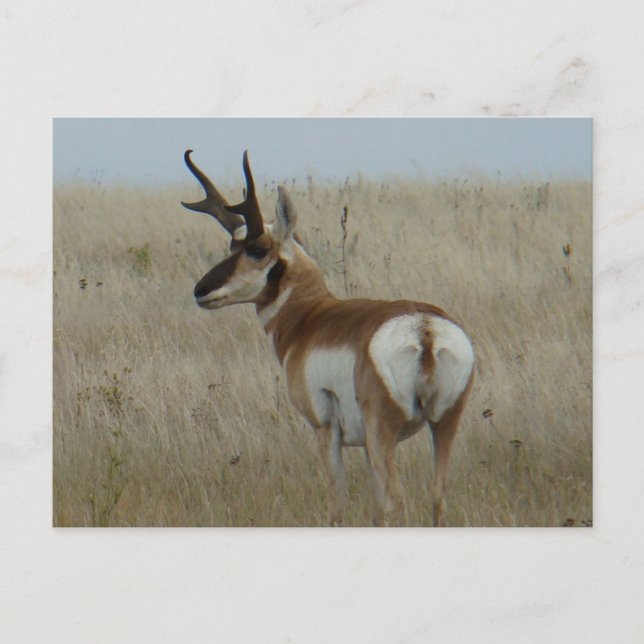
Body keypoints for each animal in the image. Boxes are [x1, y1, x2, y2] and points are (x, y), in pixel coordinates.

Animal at [181, 150, 475, 527]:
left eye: (257, 248)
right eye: (233, 244)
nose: (201, 290)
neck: (311, 317)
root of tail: (424, 327)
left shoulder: (325, 430)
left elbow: (338, 504)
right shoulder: (365, 445)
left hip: (384, 432)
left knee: (395, 500)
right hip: (443, 424)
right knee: (437, 497)